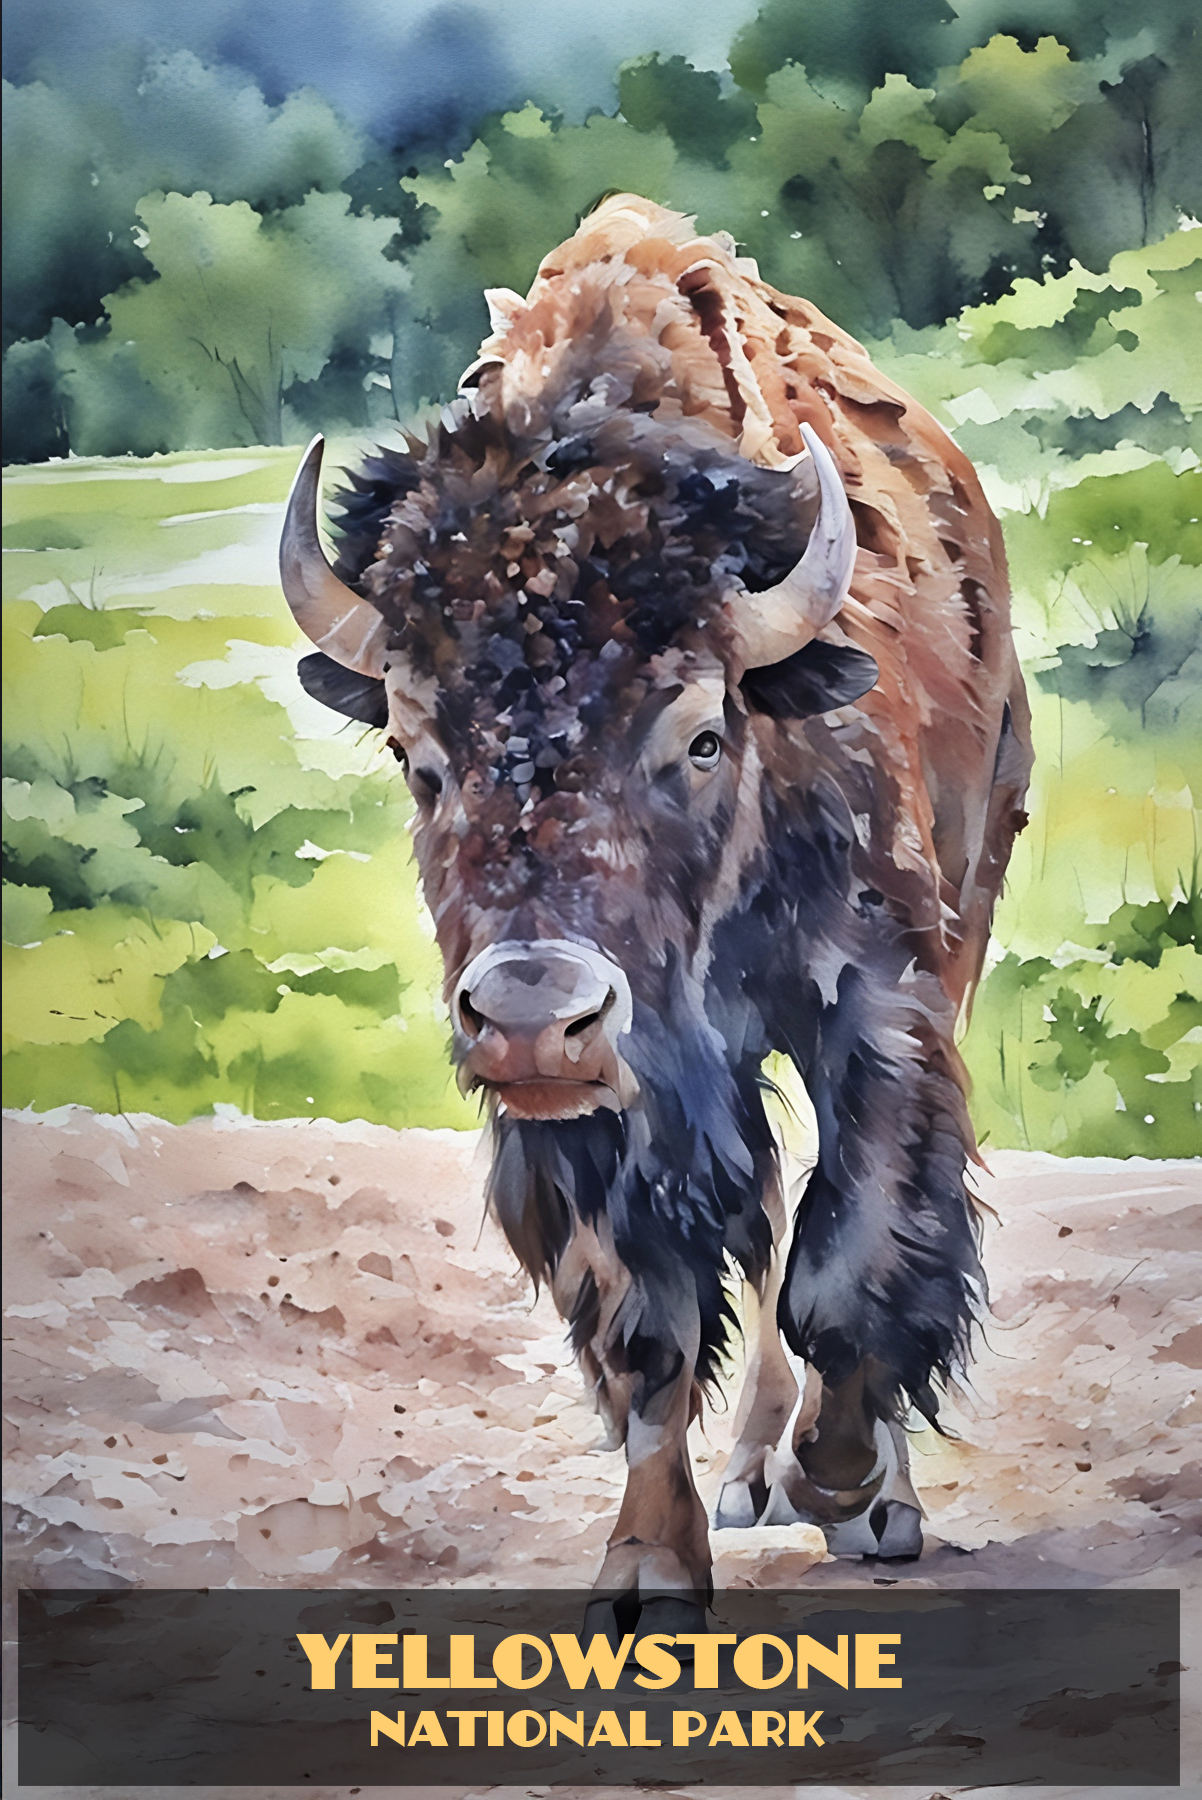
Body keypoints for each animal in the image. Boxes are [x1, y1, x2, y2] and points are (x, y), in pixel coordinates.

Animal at [279, 195, 1032, 1601]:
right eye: (416, 753)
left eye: (698, 735)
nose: (533, 1013)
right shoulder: (600, 1112)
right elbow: (646, 1323)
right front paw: (646, 1564)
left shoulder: (878, 1003)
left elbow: (854, 1250)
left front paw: (843, 1477)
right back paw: (747, 1475)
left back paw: (864, 1499)